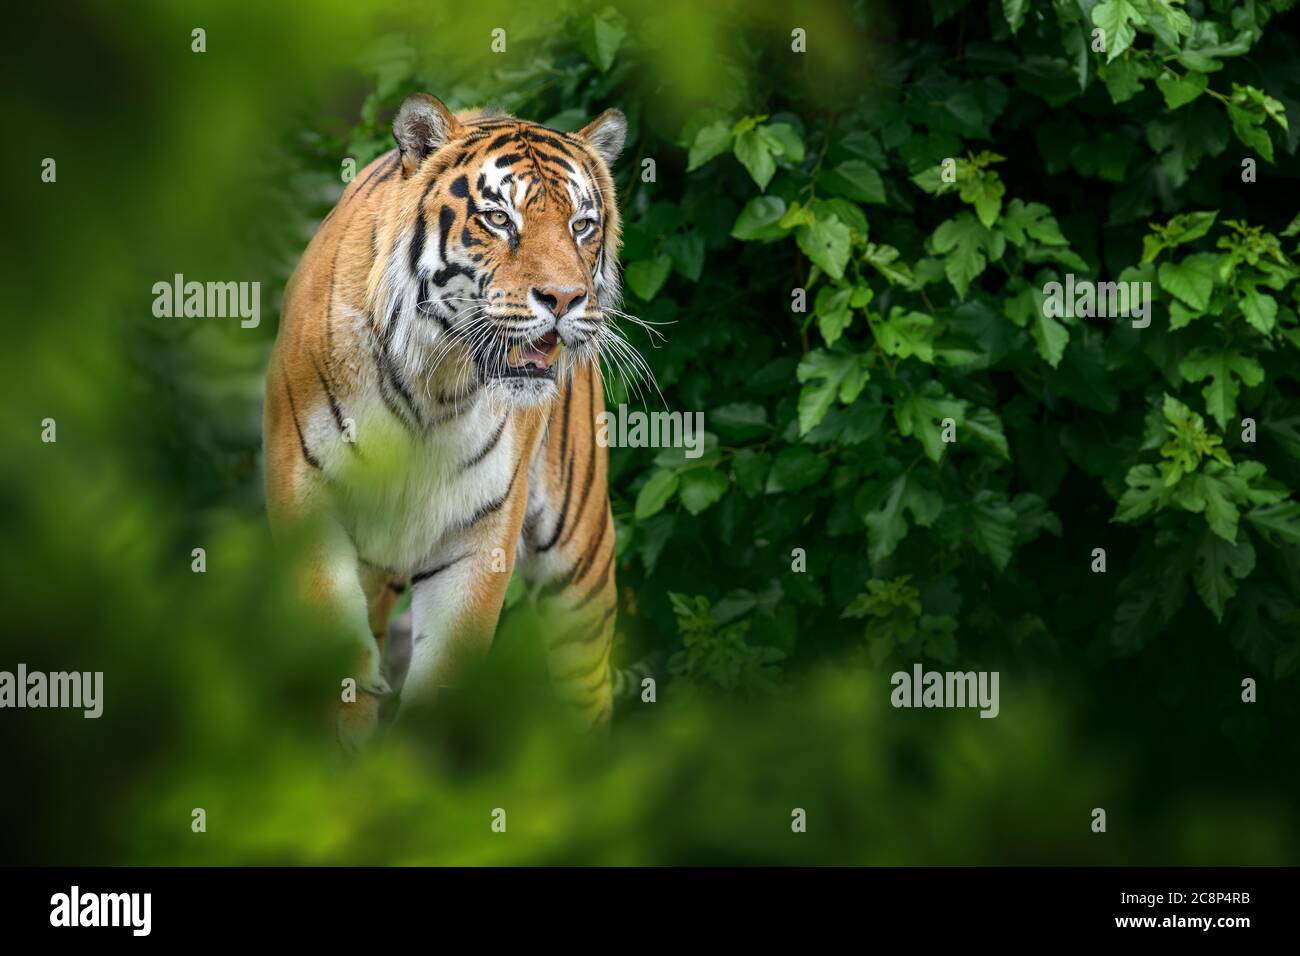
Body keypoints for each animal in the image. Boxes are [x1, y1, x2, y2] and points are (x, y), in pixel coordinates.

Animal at [263, 93, 628, 752]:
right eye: (499, 219)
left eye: (582, 225)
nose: (565, 299)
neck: (432, 386)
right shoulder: (308, 500)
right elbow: (340, 666)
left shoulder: (480, 533)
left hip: (579, 559)